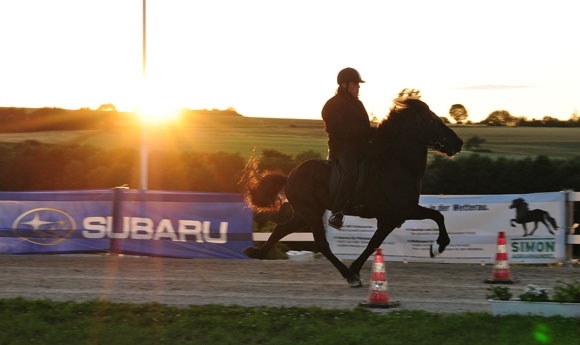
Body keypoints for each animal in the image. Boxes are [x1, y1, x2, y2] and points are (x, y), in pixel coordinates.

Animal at [239, 98, 462, 286]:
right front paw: (438, 246)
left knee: (281, 229)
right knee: (321, 244)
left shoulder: (392, 217)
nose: (458, 143)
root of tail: (290, 176)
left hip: (303, 214)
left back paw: (257, 252)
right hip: (311, 213)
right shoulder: (400, 212)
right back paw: (347, 275)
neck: (397, 164)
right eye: (432, 120)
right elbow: (436, 216)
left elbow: (376, 243)